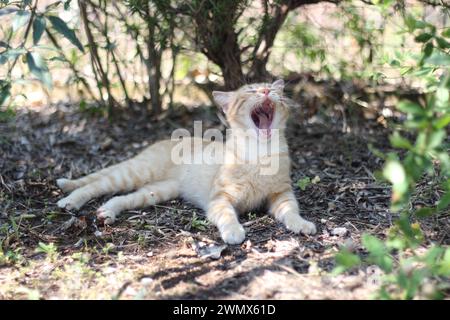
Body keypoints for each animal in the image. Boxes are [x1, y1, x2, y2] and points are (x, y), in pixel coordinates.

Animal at [57, 79, 316, 244]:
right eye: (251, 91)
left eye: (272, 89)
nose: (265, 91)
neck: (260, 153)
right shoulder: (220, 199)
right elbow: (227, 216)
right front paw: (234, 232)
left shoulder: (281, 194)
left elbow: (291, 211)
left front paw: (302, 224)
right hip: (134, 173)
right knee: (95, 185)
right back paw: (70, 201)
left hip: (156, 192)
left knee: (122, 198)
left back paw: (107, 213)